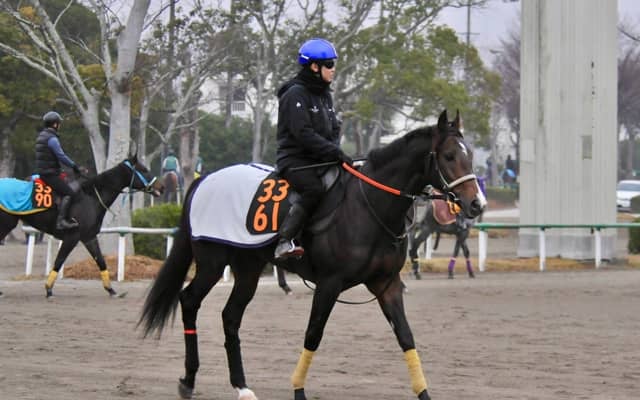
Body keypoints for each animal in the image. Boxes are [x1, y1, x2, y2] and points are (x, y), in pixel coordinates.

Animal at [0, 154, 163, 298]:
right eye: (144, 170)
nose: (161, 186)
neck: (91, 197)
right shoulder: (72, 237)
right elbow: (59, 261)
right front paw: (48, 289)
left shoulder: (89, 237)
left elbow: (101, 261)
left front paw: (112, 290)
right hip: (6, 225)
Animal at [138, 110, 486, 400]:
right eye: (449, 156)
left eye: (470, 156)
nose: (477, 204)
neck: (368, 205)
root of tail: (204, 180)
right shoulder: (330, 284)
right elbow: (313, 335)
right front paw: (298, 390)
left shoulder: (386, 285)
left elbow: (406, 337)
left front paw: (424, 393)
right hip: (212, 262)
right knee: (189, 301)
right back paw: (189, 380)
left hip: (248, 268)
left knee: (230, 316)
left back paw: (241, 386)